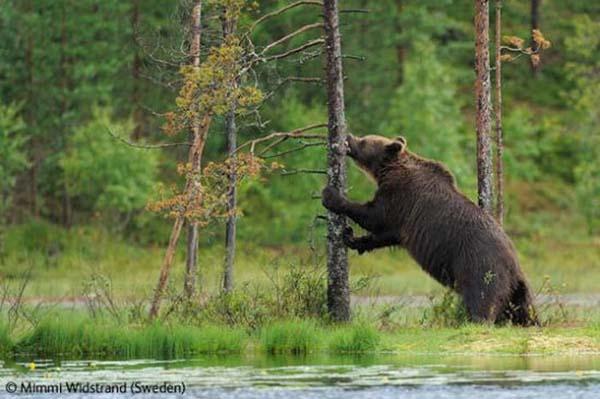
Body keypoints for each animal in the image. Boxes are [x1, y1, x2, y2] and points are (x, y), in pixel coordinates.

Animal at [324, 133, 540, 326]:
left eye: (364, 140)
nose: (349, 136)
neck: (388, 170)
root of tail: (514, 268)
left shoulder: (400, 195)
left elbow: (374, 216)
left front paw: (331, 196)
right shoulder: (402, 219)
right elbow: (385, 235)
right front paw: (351, 238)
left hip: (480, 266)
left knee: (481, 299)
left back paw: (476, 320)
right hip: (518, 289)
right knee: (525, 311)